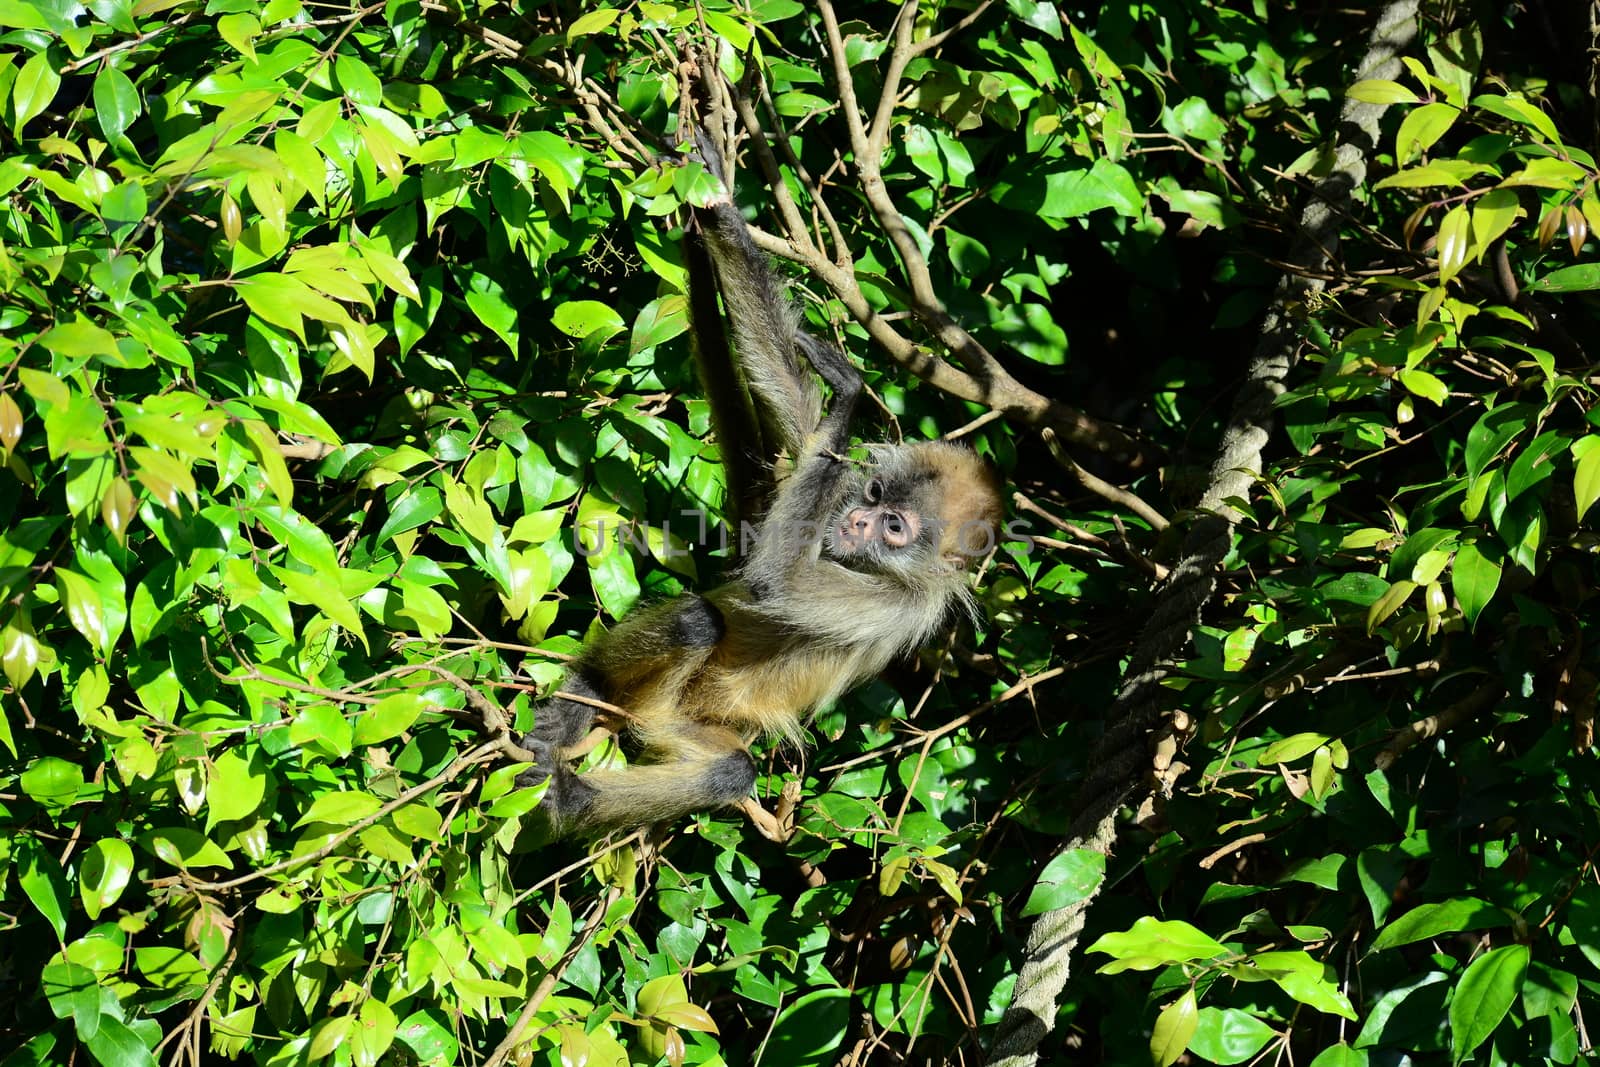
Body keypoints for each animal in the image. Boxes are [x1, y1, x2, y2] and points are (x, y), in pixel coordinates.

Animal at [521, 131, 998, 831]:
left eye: (893, 529)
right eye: (876, 497)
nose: (856, 521)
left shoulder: (905, 604)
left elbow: (775, 583)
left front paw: (848, 392)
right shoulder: (831, 491)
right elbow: (790, 403)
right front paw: (719, 204)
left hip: (691, 724)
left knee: (726, 761)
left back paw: (574, 792)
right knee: (698, 628)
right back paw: (588, 690)